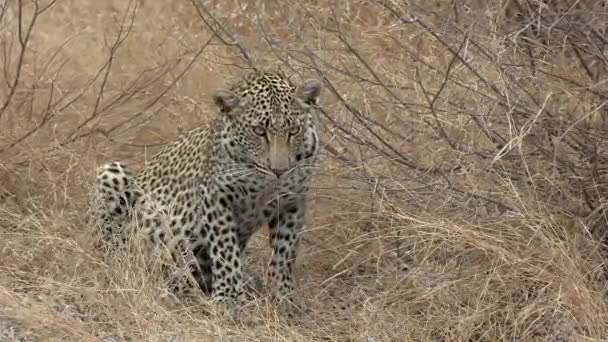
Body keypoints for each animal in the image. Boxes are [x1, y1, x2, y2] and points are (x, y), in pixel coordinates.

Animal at [92, 69, 324, 318]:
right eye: (259, 131)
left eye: (294, 130)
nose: (279, 171)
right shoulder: (217, 198)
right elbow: (226, 251)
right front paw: (229, 299)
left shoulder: (293, 201)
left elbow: (284, 253)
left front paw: (283, 297)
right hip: (112, 173)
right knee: (115, 249)